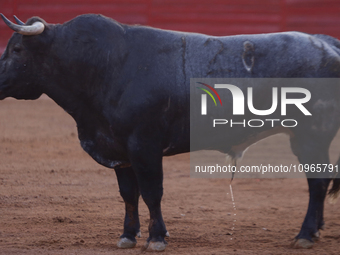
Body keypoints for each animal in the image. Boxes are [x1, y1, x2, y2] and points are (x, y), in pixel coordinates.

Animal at [0, 13, 338, 251]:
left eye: (16, 49)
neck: (104, 66)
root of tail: (325, 43)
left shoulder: (144, 146)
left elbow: (152, 192)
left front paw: (157, 238)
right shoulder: (119, 150)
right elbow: (128, 194)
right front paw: (127, 235)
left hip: (311, 136)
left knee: (318, 182)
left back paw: (305, 235)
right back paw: (317, 230)